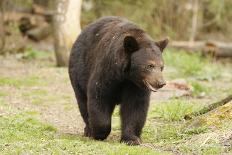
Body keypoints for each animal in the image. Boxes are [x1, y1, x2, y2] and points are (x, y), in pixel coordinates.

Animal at [68, 16, 168, 145]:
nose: (161, 83)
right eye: (150, 65)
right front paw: (99, 133)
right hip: (79, 71)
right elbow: (99, 96)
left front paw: (132, 138)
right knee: (82, 102)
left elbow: (134, 107)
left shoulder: (135, 86)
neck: (126, 76)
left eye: (161, 66)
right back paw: (88, 130)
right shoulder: (107, 72)